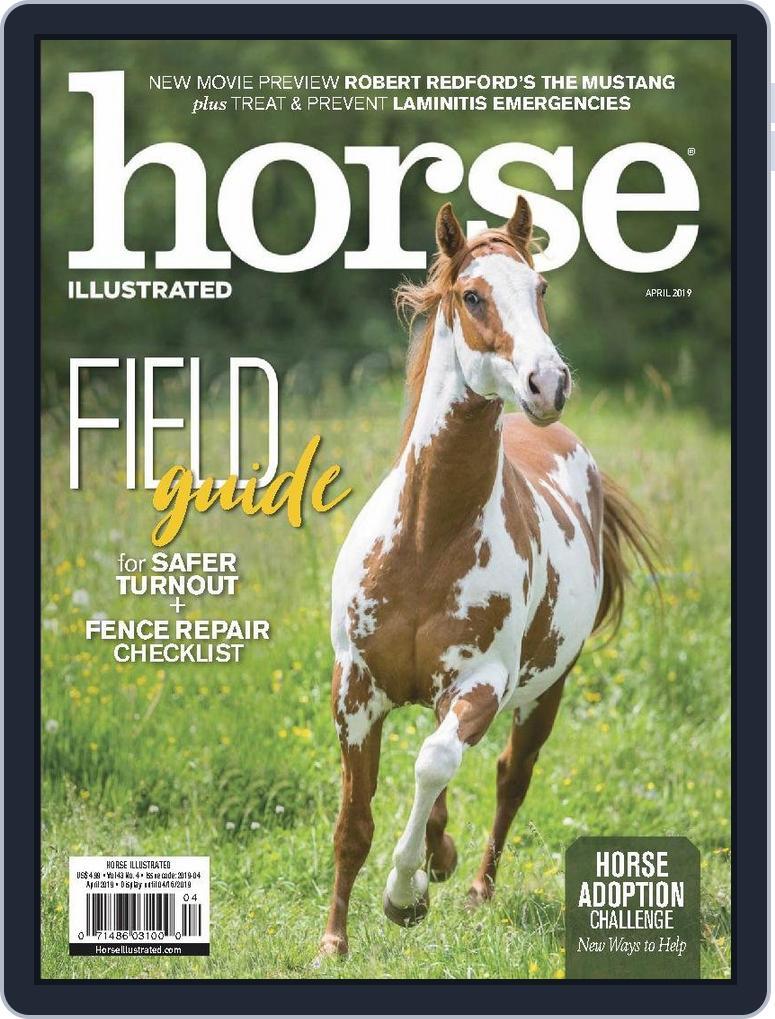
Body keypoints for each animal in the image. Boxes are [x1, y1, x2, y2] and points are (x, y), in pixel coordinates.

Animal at [317, 195, 654, 961]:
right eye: (473, 295)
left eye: (540, 289)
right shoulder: (355, 690)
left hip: (545, 690)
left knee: (507, 775)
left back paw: (469, 886)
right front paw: (333, 942)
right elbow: (354, 820)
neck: (426, 540)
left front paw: (404, 895)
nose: (548, 383)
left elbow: (435, 762)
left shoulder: (482, 683)